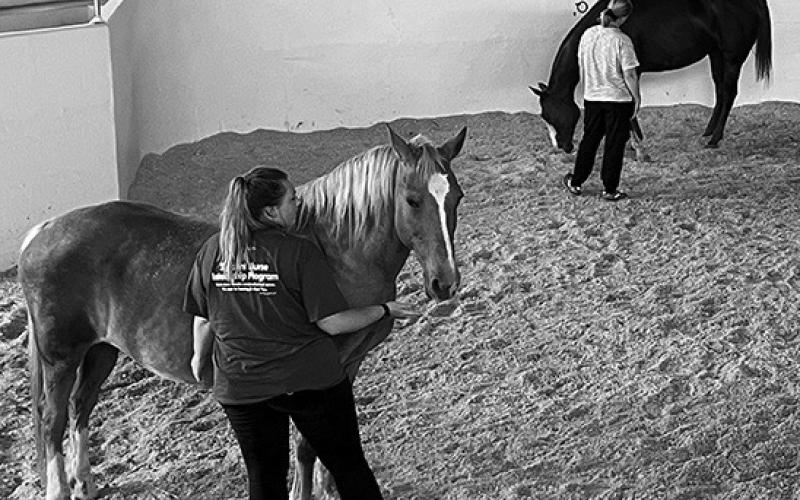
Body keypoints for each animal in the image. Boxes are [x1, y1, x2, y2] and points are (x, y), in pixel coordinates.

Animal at [19, 124, 467, 500]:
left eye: (456, 197)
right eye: (412, 200)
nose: (445, 283)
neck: (334, 251)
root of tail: (44, 231)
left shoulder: (347, 365)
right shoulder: (316, 372)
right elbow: (306, 445)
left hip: (101, 350)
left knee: (80, 407)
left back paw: (85, 483)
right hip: (61, 358)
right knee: (52, 420)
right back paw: (59, 489)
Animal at [530, 0, 772, 152]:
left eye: (549, 114)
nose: (562, 147)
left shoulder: (630, 72)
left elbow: (630, 105)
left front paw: (634, 141)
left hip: (731, 57)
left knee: (729, 92)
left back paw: (714, 139)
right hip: (716, 54)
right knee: (720, 90)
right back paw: (708, 131)